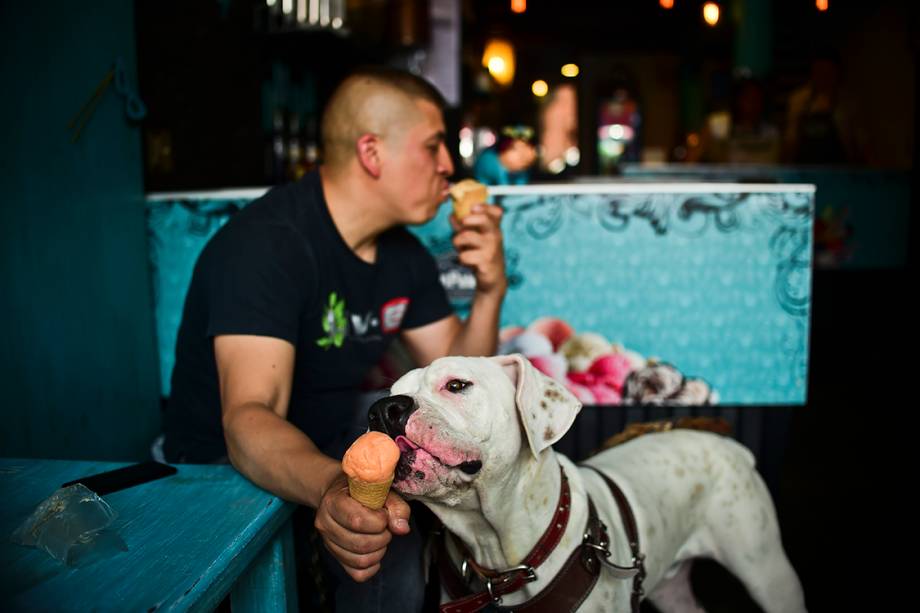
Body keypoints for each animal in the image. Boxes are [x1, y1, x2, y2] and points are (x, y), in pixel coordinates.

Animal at [366, 354, 804, 612]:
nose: (383, 409)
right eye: (392, 393)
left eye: (457, 385)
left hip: (768, 574)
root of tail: (727, 443)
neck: (502, 554)